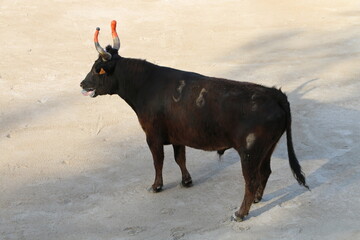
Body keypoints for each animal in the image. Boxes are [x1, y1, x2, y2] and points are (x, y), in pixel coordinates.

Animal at [80, 24, 308, 221]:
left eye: (98, 69)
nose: (82, 84)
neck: (145, 85)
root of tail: (274, 93)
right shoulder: (177, 136)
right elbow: (179, 158)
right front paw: (186, 181)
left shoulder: (152, 135)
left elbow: (158, 161)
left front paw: (156, 186)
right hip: (267, 148)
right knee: (265, 172)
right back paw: (258, 200)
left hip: (250, 152)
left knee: (251, 180)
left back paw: (240, 213)